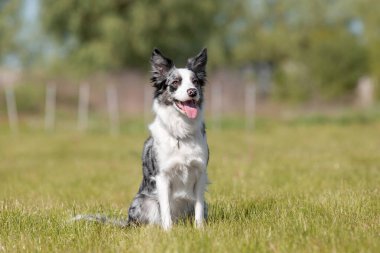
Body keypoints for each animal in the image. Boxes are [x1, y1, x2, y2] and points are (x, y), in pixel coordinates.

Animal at [72, 47, 209, 229]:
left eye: (195, 82)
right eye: (175, 83)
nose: (192, 92)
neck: (181, 132)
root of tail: (127, 222)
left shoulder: (200, 174)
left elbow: (198, 208)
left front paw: (200, 229)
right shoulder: (162, 177)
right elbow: (165, 209)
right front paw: (168, 231)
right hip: (144, 202)